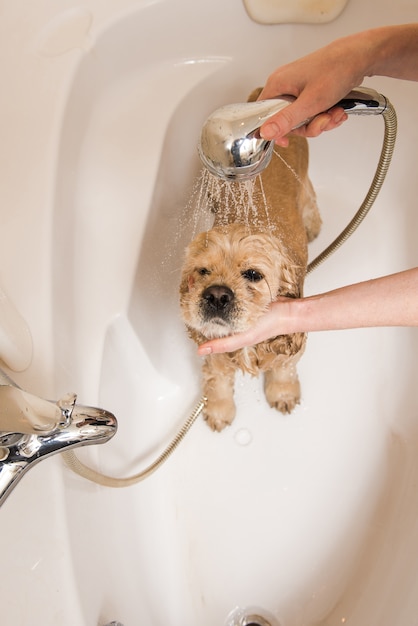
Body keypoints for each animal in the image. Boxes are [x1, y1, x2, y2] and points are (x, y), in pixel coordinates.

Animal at [179, 86, 320, 428]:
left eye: (253, 275)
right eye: (202, 271)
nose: (216, 295)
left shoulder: (290, 342)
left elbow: (284, 367)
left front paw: (283, 393)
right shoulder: (214, 351)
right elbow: (217, 380)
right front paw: (219, 410)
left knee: (309, 195)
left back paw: (312, 225)